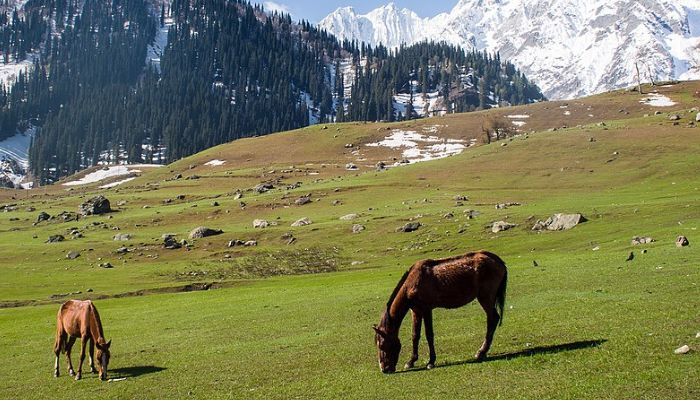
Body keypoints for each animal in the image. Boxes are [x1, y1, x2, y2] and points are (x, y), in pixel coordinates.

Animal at [372, 252, 508, 374]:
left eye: (382, 345)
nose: (384, 369)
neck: (412, 283)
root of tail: (498, 261)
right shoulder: (416, 311)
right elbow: (415, 335)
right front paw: (411, 361)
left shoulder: (426, 309)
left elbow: (429, 335)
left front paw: (431, 361)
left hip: (486, 298)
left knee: (493, 319)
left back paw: (481, 352)